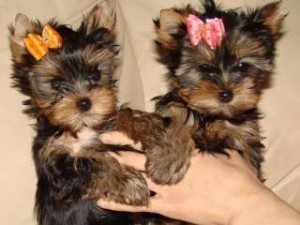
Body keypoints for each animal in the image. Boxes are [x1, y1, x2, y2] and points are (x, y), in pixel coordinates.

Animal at [9, 0, 195, 225]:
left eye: (95, 75)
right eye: (56, 84)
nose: (84, 103)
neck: (82, 128)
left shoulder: (107, 127)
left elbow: (124, 114)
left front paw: (164, 143)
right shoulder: (56, 164)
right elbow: (90, 165)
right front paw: (130, 183)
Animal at [155, 0, 286, 182]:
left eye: (242, 66)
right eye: (205, 67)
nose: (226, 95)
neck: (212, 116)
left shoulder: (245, 134)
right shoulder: (171, 107)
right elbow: (178, 118)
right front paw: (167, 161)